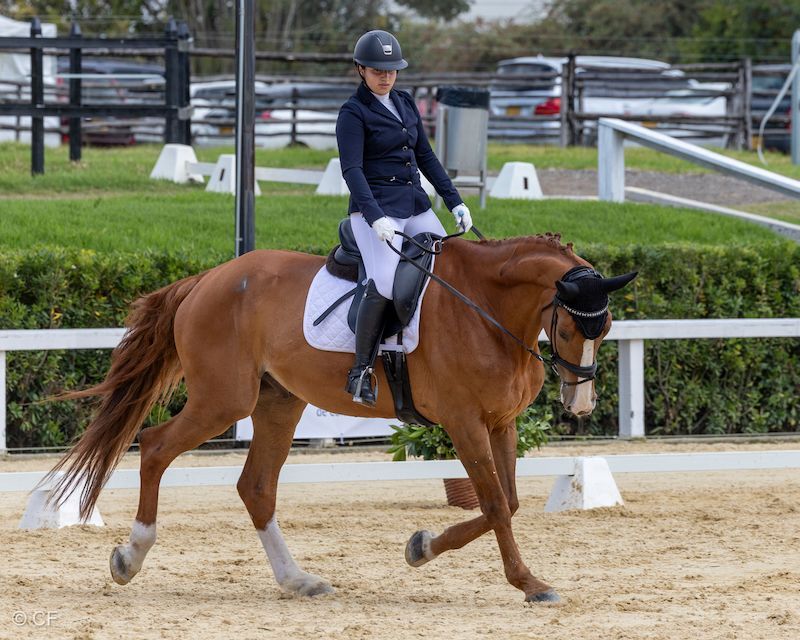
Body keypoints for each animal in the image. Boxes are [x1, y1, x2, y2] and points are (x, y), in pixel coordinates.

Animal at [44, 232, 636, 604]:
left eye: (605, 329)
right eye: (569, 329)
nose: (580, 405)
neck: (486, 308)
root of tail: (207, 279)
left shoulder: (499, 422)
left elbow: (506, 502)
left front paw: (421, 547)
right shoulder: (464, 421)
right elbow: (493, 503)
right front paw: (529, 582)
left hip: (278, 402)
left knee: (256, 486)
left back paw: (298, 581)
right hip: (223, 401)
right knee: (155, 445)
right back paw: (130, 558)